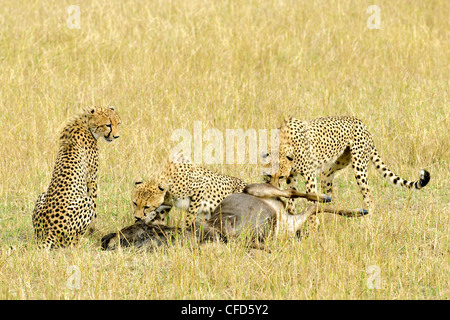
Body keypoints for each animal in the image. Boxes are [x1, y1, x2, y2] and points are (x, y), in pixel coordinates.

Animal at [31, 106, 121, 249]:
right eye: (108, 125)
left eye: (118, 123)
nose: (116, 136)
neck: (86, 123)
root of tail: (51, 230)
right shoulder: (92, 178)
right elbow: (95, 206)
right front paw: (92, 231)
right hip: (84, 203)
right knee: (71, 242)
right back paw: (83, 241)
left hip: (42, 196)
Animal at [262, 116, 430, 214]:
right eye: (269, 176)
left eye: (281, 176)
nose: (272, 190)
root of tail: (360, 122)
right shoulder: (292, 175)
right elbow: (291, 199)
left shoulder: (308, 175)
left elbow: (310, 198)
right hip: (329, 170)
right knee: (330, 193)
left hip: (359, 166)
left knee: (368, 194)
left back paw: (368, 221)